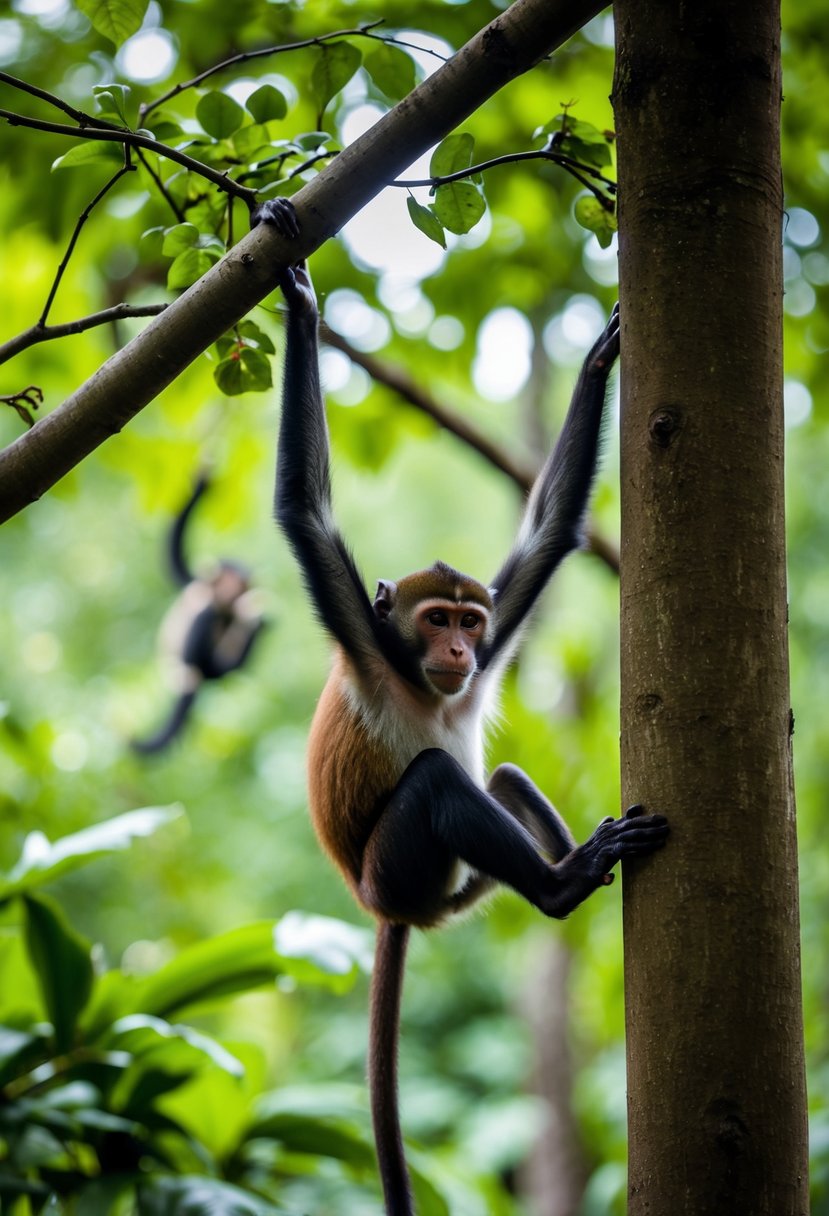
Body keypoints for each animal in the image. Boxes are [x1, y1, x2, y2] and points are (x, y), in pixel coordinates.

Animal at [131, 472, 266, 755]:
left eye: (240, 583)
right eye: (226, 579)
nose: (231, 590)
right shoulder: (198, 581)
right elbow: (173, 555)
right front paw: (202, 484)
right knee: (206, 616)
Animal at [253, 197, 669, 1215]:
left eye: (470, 619)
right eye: (433, 617)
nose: (456, 650)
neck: (416, 680)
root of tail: (392, 911)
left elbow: (551, 530)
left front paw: (599, 358)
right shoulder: (366, 643)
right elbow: (303, 514)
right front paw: (300, 302)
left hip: (454, 883)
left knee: (500, 777)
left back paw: (567, 865)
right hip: (400, 869)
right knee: (439, 781)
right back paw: (561, 885)